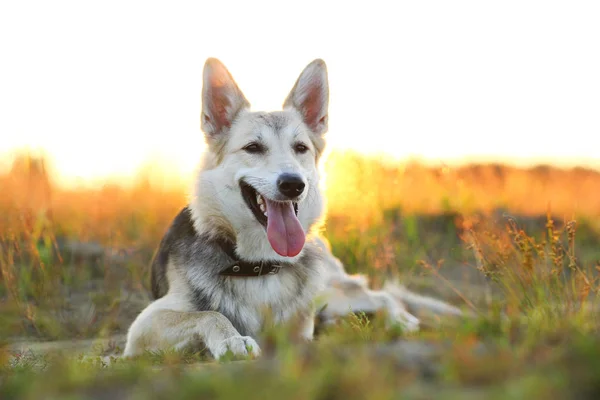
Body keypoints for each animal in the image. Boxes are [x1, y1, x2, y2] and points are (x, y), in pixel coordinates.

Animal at [124, 57, 466, 360]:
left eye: (300, 148)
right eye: (253, 148)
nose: (293, 184)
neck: (259, 265)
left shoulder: (300, 328)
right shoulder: (142, 328)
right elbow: (209, 315)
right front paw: (234, 340)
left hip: (332, 293)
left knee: (382, 297)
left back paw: (399, 320)